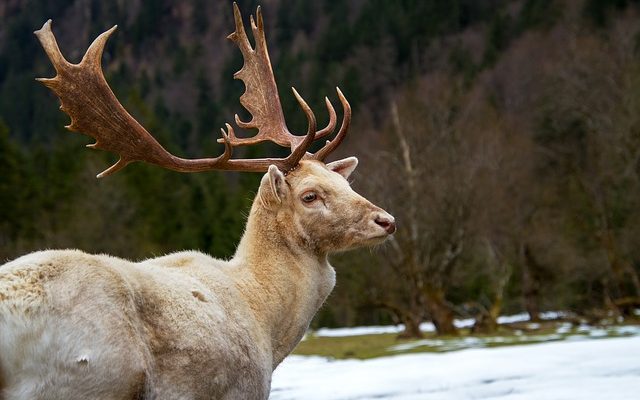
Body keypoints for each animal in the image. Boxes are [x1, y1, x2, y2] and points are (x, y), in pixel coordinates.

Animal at [0, 3, 396, 400]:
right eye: (310, 195)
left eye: (344, 182)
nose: (387, 220)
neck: (267, 325)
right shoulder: (241, 389)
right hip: (89, 377)